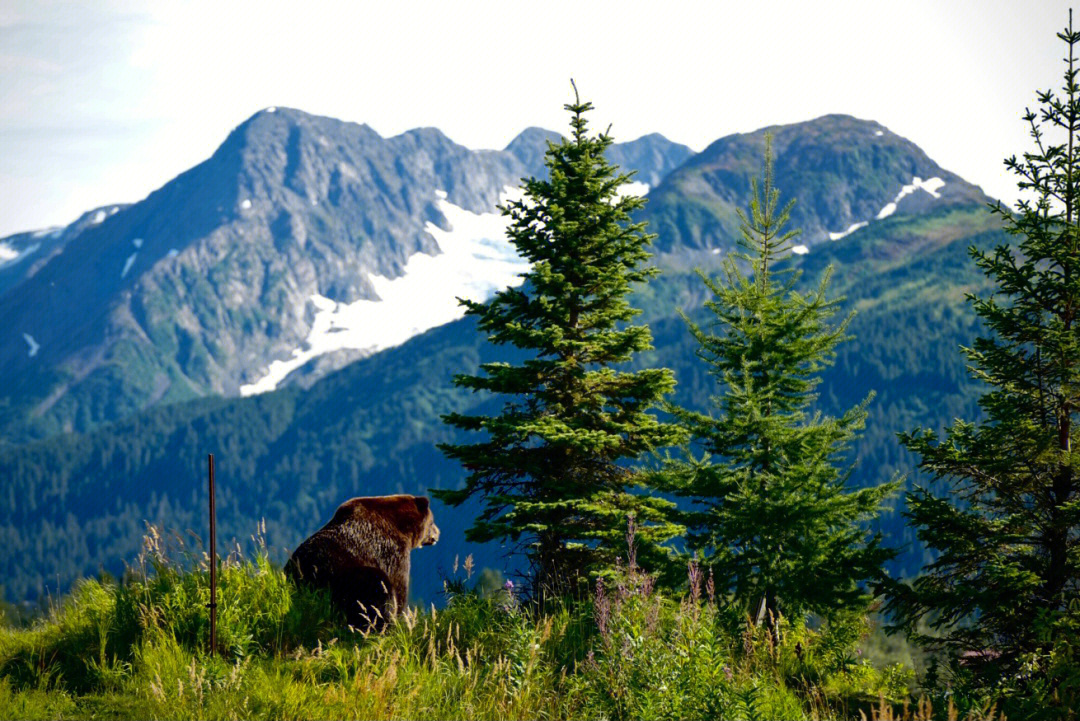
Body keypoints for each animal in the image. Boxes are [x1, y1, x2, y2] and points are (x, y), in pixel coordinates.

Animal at [289, 496, 440, 630]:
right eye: (432, 522)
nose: (438, 533)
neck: (402, 526)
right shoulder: (392, 551)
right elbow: (399, 586)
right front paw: (402, 619)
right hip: (348, 578)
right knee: (378, 586)